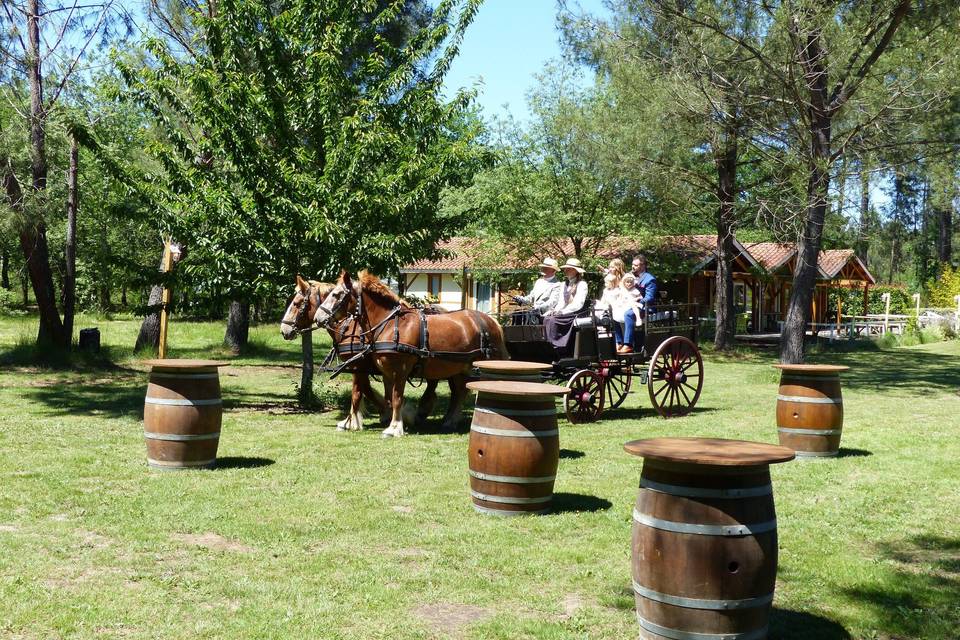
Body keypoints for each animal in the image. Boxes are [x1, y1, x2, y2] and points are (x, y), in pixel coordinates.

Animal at [316, 268, 510, 438]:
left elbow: (395, 398)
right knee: (460, 391)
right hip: (459, 368)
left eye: (336, 294)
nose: (318, 317)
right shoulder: (384, 371)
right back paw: (450, 421)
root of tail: (491, 321)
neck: (390, 324)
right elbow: (385, 397)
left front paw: (394, 428)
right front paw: (388, 419)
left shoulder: (398, 370)